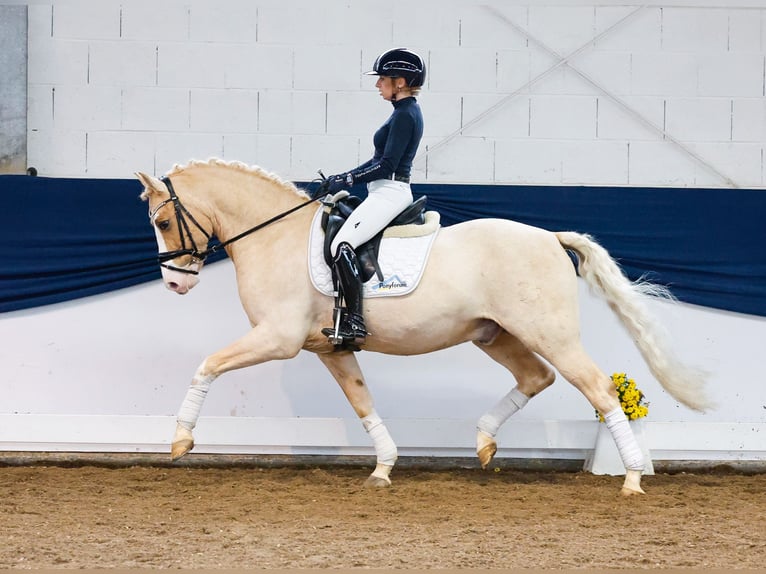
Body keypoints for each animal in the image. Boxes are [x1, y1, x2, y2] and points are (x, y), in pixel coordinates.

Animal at [136, 160, 712, 498]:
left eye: (163, 222)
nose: (175, 283)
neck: (275, 237)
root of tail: (550, 237)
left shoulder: (278, 340)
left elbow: (206, 365)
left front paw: (180, 441)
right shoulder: (330, 348)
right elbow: (362, 402)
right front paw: (384, 467)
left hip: (551, 335)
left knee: (599, 390)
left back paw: (632, 477)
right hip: (495, 334)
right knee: (536, 379)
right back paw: (483, 442)